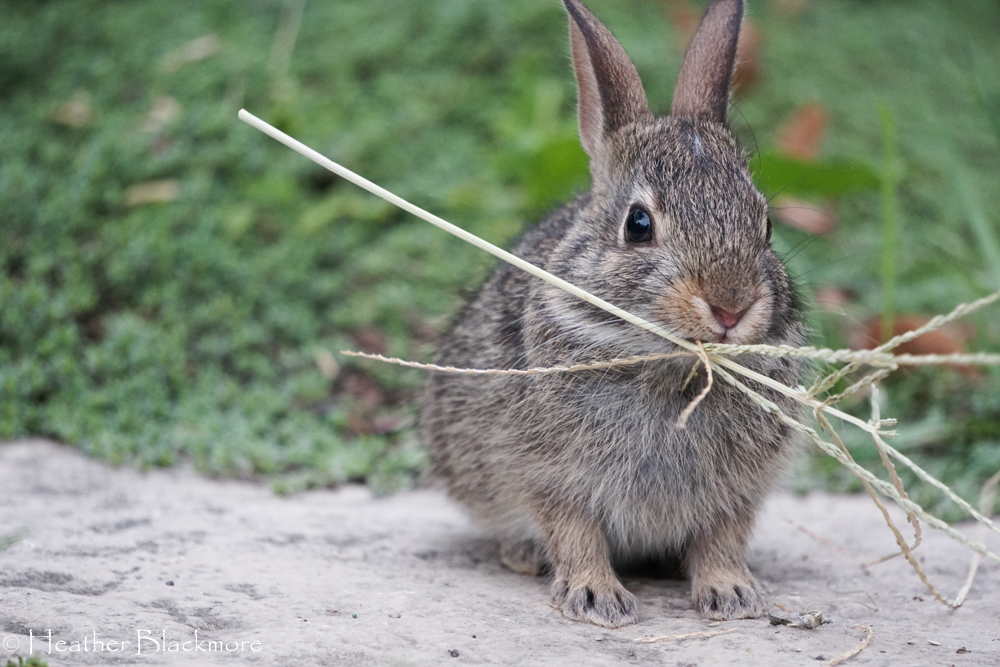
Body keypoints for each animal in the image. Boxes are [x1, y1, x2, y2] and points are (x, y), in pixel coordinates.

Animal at [419, 0, 804, 629]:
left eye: (767, 226)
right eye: (638, 225)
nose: (730, 305)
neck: (676, 372)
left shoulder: (738, 489)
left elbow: (722, 537)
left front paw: (731, 594)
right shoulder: (552, 474)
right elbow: (575, 533)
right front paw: (597, 598)